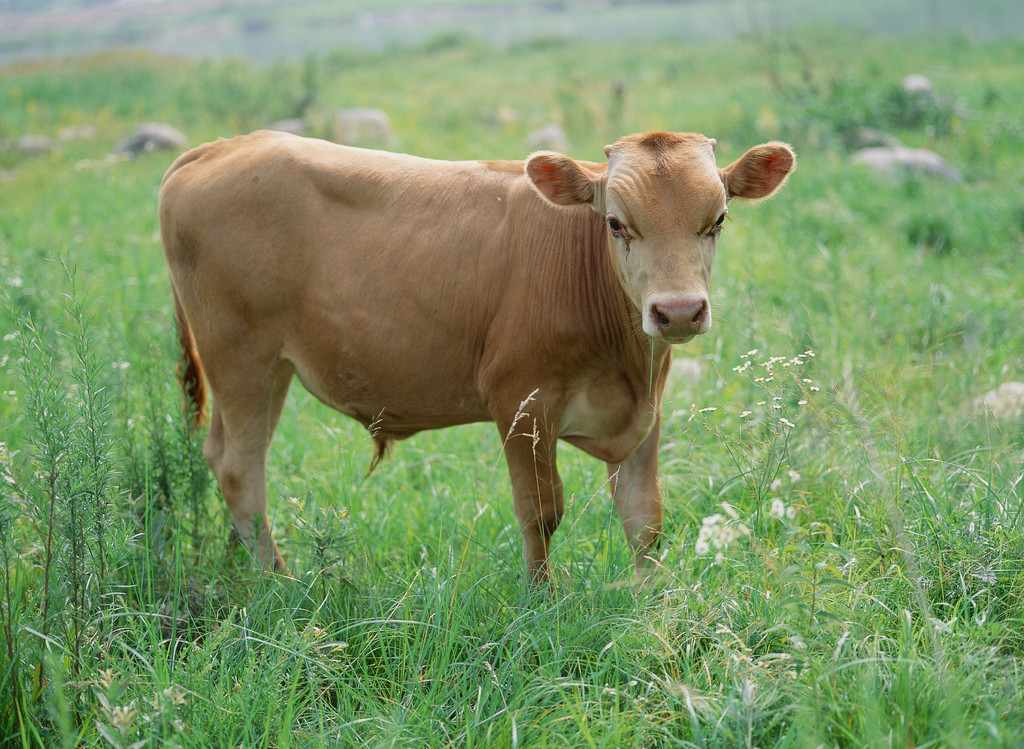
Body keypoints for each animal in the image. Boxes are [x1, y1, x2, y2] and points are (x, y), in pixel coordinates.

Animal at [159, 130, 794, 581]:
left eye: (717, 220)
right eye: (616, 224)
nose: (678, 312)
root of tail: (224, 146)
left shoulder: (647, 413)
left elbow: (645, 518)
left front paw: (650, 603)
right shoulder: (520, 401)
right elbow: (540, 512)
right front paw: (542, 603)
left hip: (265, 369)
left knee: (223, 457)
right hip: (241, 355)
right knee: (241, 468)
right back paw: (278, 582)